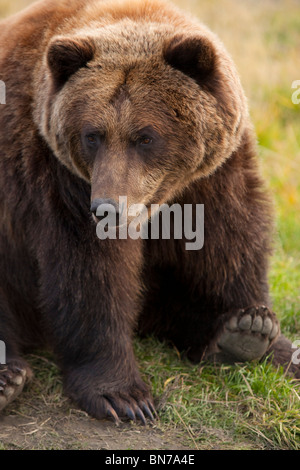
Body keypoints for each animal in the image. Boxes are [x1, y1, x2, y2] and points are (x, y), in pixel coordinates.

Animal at [0, 0, 298, 422]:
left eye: (145, 136)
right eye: (92, 135)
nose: (106, 208)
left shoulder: (213, 178)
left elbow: (231, 247)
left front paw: (254, 328)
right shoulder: (57, 179)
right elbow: (91, 274)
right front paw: (122, 395)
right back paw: (8, 378)